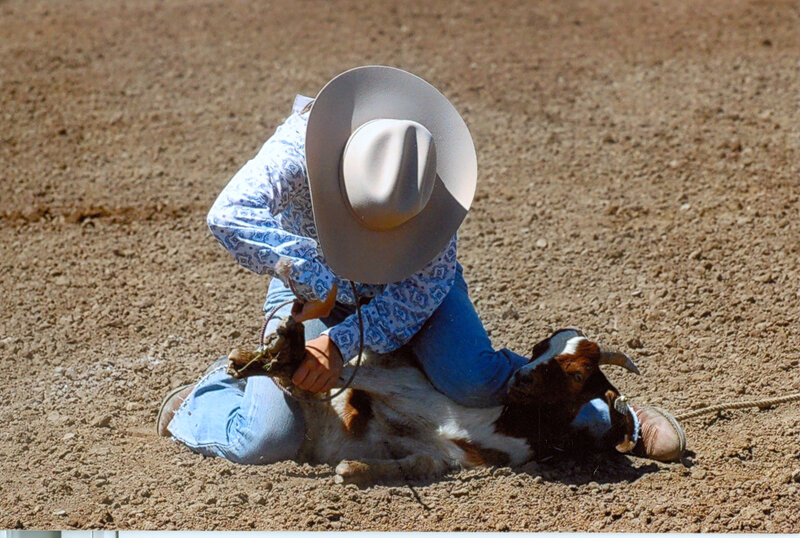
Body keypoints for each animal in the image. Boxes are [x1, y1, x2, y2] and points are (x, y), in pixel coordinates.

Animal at [228, 323, 641, 486]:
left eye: (577, 373)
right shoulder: (405, 386)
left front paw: (353, 470)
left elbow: (416, 465)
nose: (520, 378)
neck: (505, 421)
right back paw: (259, 354)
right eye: (540, 349)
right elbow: (348, 375)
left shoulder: (448, 456)